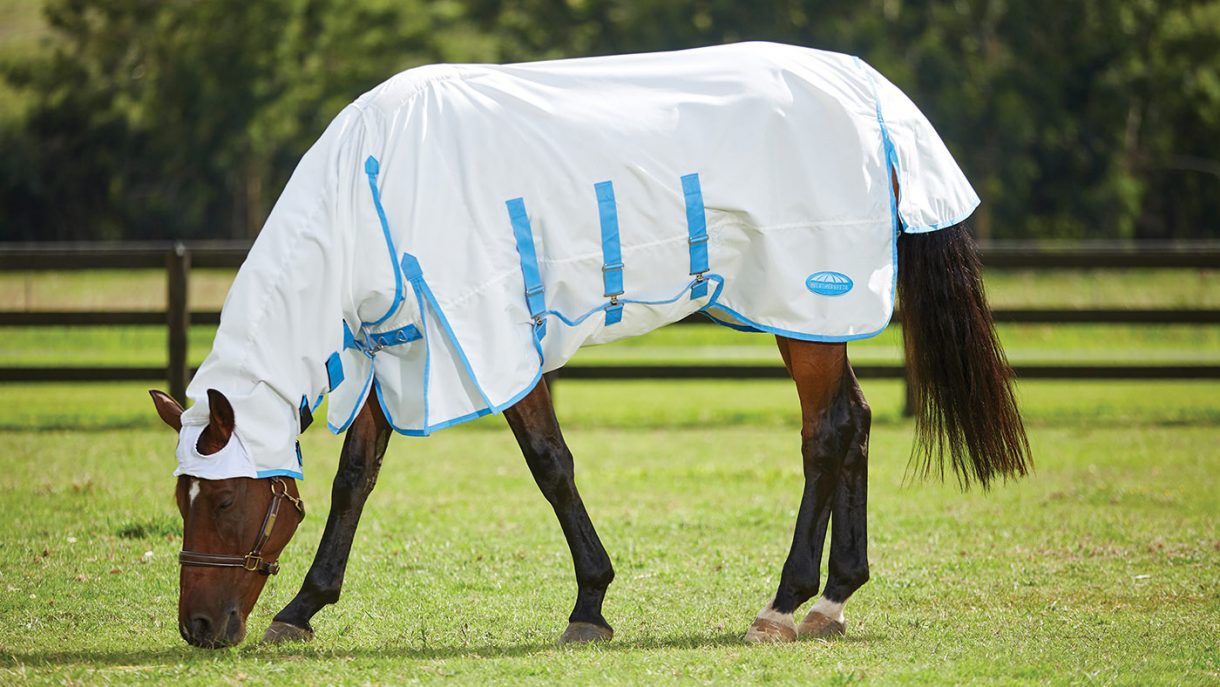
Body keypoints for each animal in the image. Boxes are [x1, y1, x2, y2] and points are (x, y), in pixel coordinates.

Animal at [147, 42, 1030, 649]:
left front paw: (590, 604)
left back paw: (784, 604)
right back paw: (833, 598)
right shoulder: (396, 345)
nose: (199, 627)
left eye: (222, 499)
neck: (372, 190)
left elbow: (550, 464)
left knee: (829, 430)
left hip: (802, 302)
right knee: (854, 422)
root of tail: (867, 89)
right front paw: (302, 608)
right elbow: (354, 480)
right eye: (183, 498)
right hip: (808, 315)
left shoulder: (490, 341)